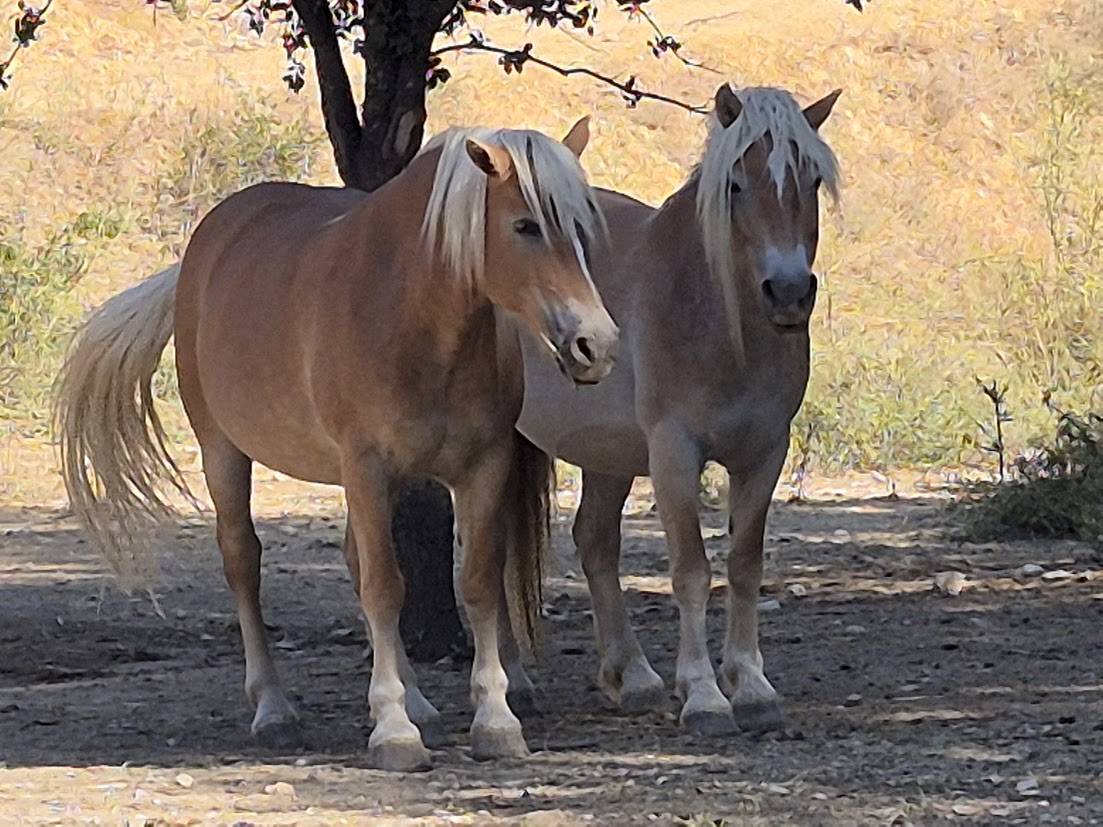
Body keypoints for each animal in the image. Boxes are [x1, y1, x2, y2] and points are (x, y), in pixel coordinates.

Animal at [54, 119, 619, 770]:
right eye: (526, 225)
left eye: (582, 226)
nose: (596, 345)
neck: (412, 315)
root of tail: (204, 248)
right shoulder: (366, 468)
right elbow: (384, 588)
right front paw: (394, 731)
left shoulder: (483, 467)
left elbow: (477, 582)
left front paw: (494, 720)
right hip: (224, 452)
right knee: (244, 562)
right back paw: (274, 708)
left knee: (355, 560)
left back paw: (415, 698)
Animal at [510, 85, 842, 736]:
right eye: (735, 184)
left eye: (813, 180)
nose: (789, 293)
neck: (718, 321)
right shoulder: (673, 451)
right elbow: (691, 568)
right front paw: (706, 695)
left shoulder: (765, 453)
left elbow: (744, 563)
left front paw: (752, 686)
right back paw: (514, 684)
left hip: (606, 453)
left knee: (594, 542)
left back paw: (632, 677)